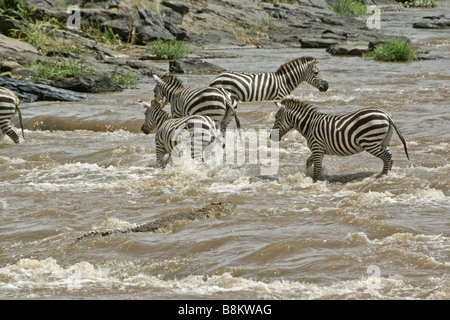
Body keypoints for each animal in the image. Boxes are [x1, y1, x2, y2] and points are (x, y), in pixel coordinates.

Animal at [270, 96, 412, 181]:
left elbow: (316, 168)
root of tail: (386, 114)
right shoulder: (318, 150)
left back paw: (382, 176)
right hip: (383, 141)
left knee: (387, 157)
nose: (271, 136)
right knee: (390, 157)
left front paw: (314, 181)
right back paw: (387, 174)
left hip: (369, 142)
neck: (310, 125)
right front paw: (307, 175)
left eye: (276, 117)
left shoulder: (317, 148)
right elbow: (308, 163)